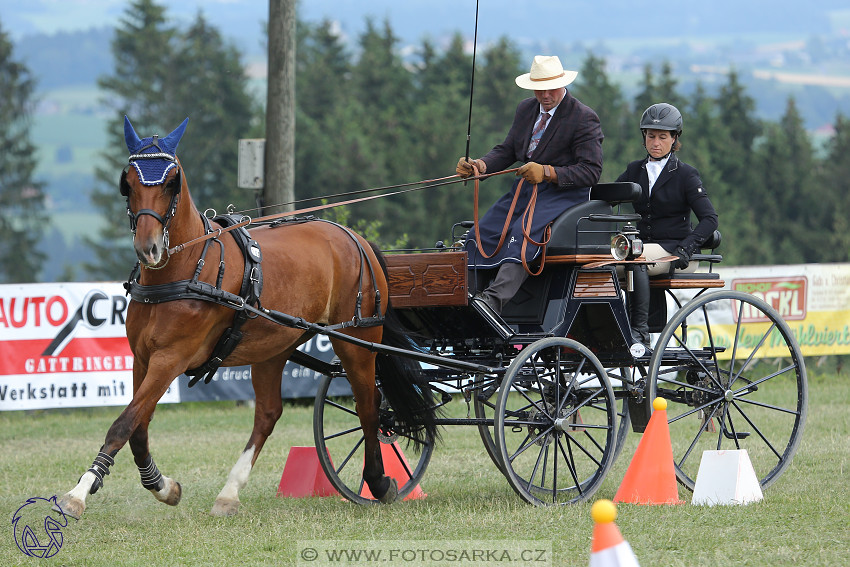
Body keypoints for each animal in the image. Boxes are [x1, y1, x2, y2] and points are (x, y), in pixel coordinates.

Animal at [58, 116, 438, 520]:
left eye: (172, 181)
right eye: (127, 181)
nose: (150, 248)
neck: (184, 269)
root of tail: (354, 237)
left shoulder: (170, 359)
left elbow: (124, 424)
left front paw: (78, 493)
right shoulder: (143, 359)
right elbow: (139, 427)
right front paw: (163, 486)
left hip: (357, 340)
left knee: (369, 406)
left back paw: (378, 482)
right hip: (274, 347)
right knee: (269, 413)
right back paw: (229, 492)